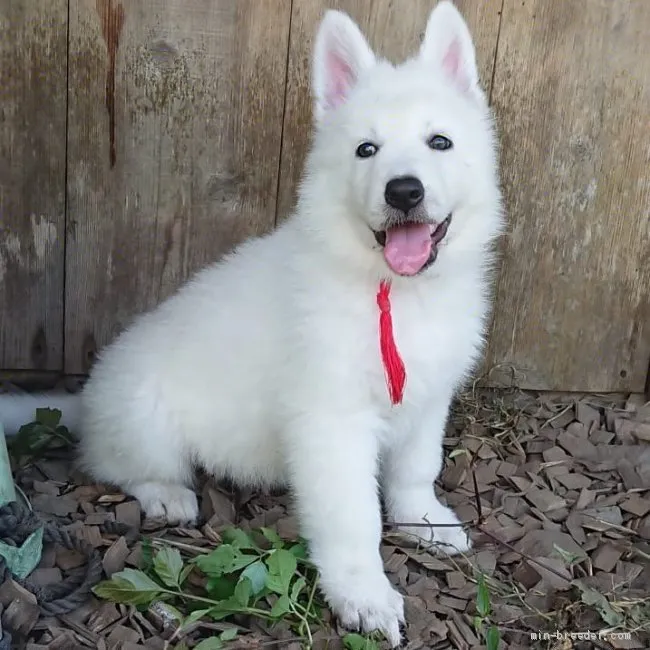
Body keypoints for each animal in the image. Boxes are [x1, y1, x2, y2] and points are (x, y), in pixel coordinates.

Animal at [0, 2, 502, 644]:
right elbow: (353, 518)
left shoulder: (428, 396)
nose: (404, 191)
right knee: (115, 463)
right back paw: (167, 495)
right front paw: (365, 596)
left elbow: (418, 467)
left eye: (440, 142)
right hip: (146, 419)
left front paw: (425, 521)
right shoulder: (332, 424)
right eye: (366, 150)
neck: (392, 289)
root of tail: (86, 397)